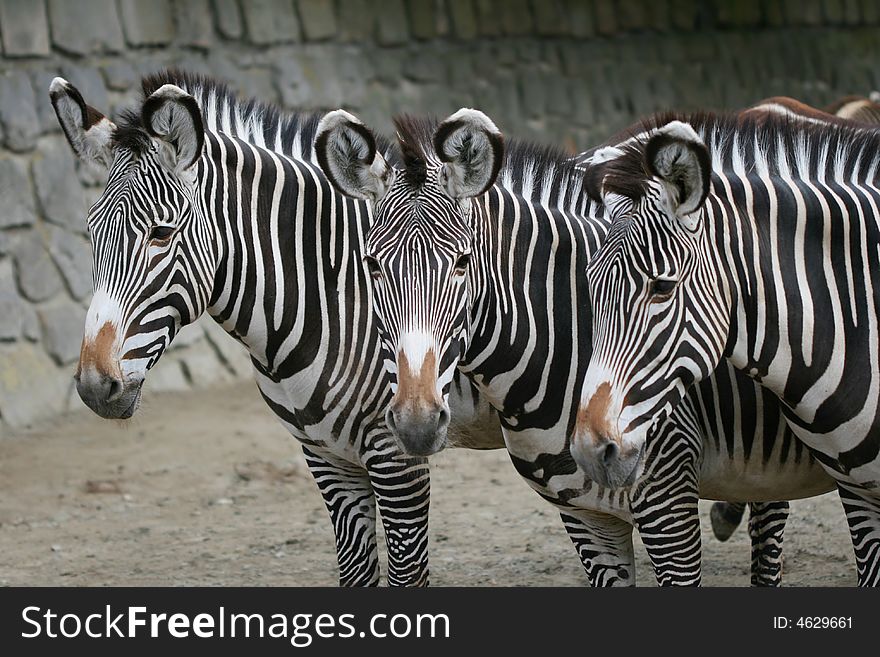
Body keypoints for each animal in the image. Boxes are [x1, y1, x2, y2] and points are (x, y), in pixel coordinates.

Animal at [49, 69, 508, 588]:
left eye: (161, 234)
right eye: (92, 233)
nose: (93, 387)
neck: (331, 296)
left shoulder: (396, 452)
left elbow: (408, 573)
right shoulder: (324, 453)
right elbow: (355, 572)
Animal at [314, 110, 832, 588]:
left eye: (462, 262)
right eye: (371, 265)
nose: (417, 425)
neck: (565, 337)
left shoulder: (668, 500)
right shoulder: (584, 513)